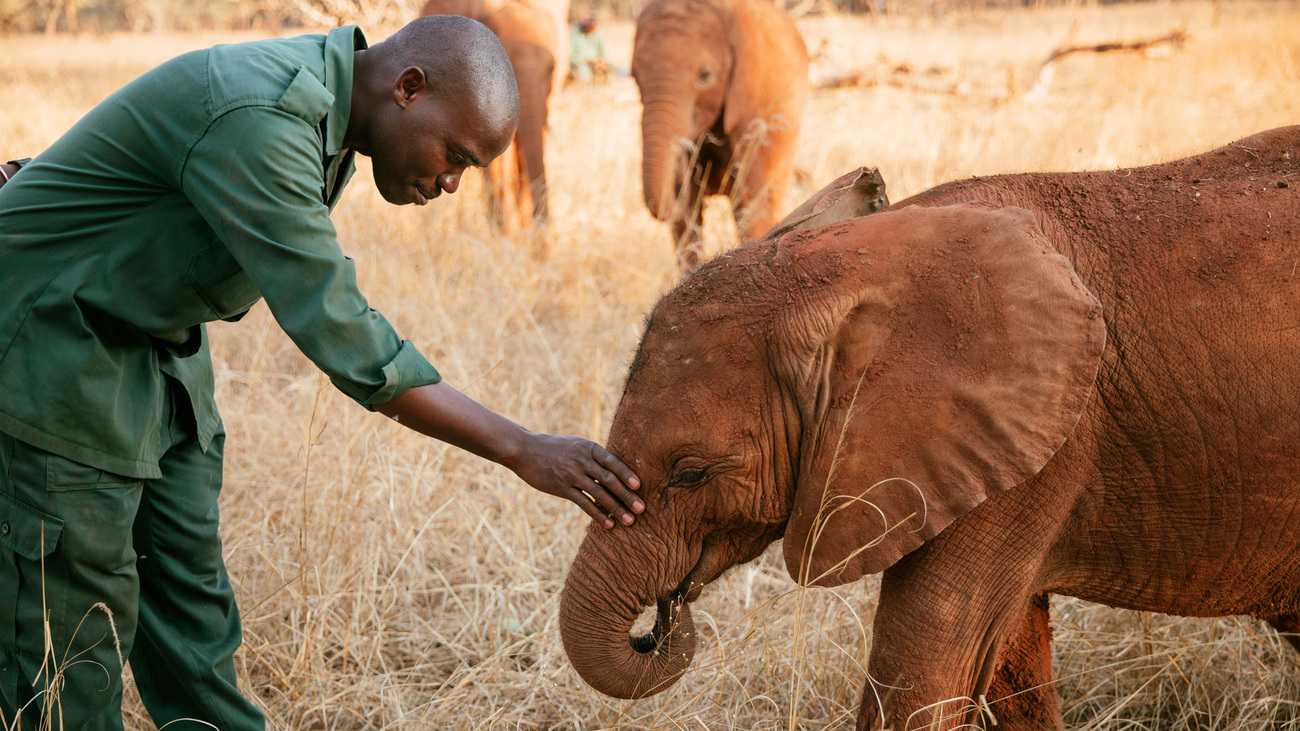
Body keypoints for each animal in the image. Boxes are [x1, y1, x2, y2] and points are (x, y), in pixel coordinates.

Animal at [556, 126, 1300, 728]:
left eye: (691, 472)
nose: (659, 623)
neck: (847, 264)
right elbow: (1004, 670)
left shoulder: (1033, 452)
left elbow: (925, 674)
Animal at [629, 0, 800, 264]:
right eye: (635, 78)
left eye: (704, 76)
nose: (677, 177)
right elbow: (688, 222)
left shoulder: (752, 108)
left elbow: (751, 202)